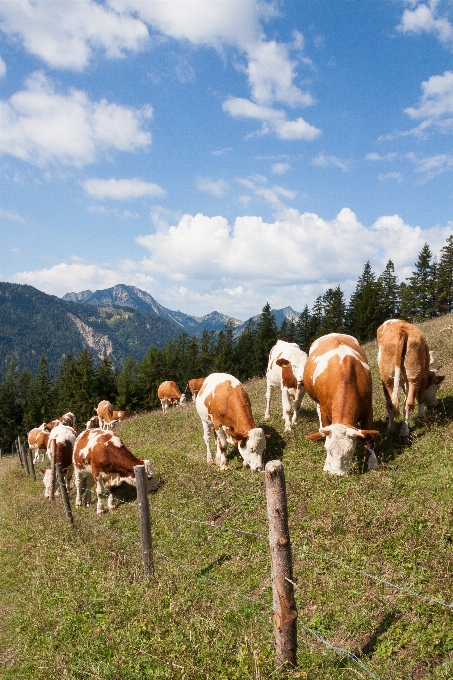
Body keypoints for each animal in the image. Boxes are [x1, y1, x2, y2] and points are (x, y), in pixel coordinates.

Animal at [302, 334, 380, 472]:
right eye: (328, 449)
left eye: (350, 451)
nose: (336, 475)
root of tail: (333, 334)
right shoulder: (324, 411)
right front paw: (327, 464)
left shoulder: (368, 409)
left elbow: (369, 438)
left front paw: (373, 462)